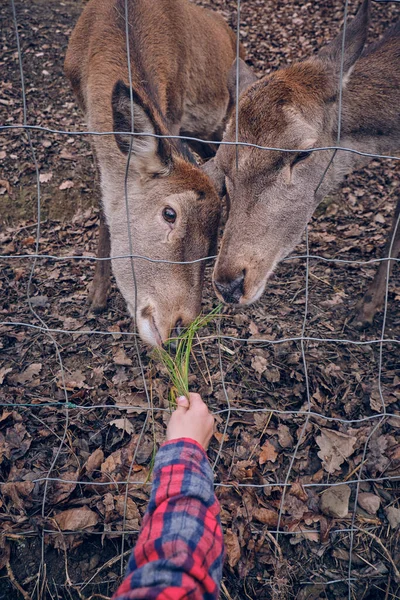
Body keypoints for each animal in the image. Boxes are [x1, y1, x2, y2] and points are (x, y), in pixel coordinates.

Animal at [65, 0, 244, 344]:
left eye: (210, 245)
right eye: (169, 214)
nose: (179, 327)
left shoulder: (173, 113)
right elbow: (105, 203)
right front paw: (96, 297)